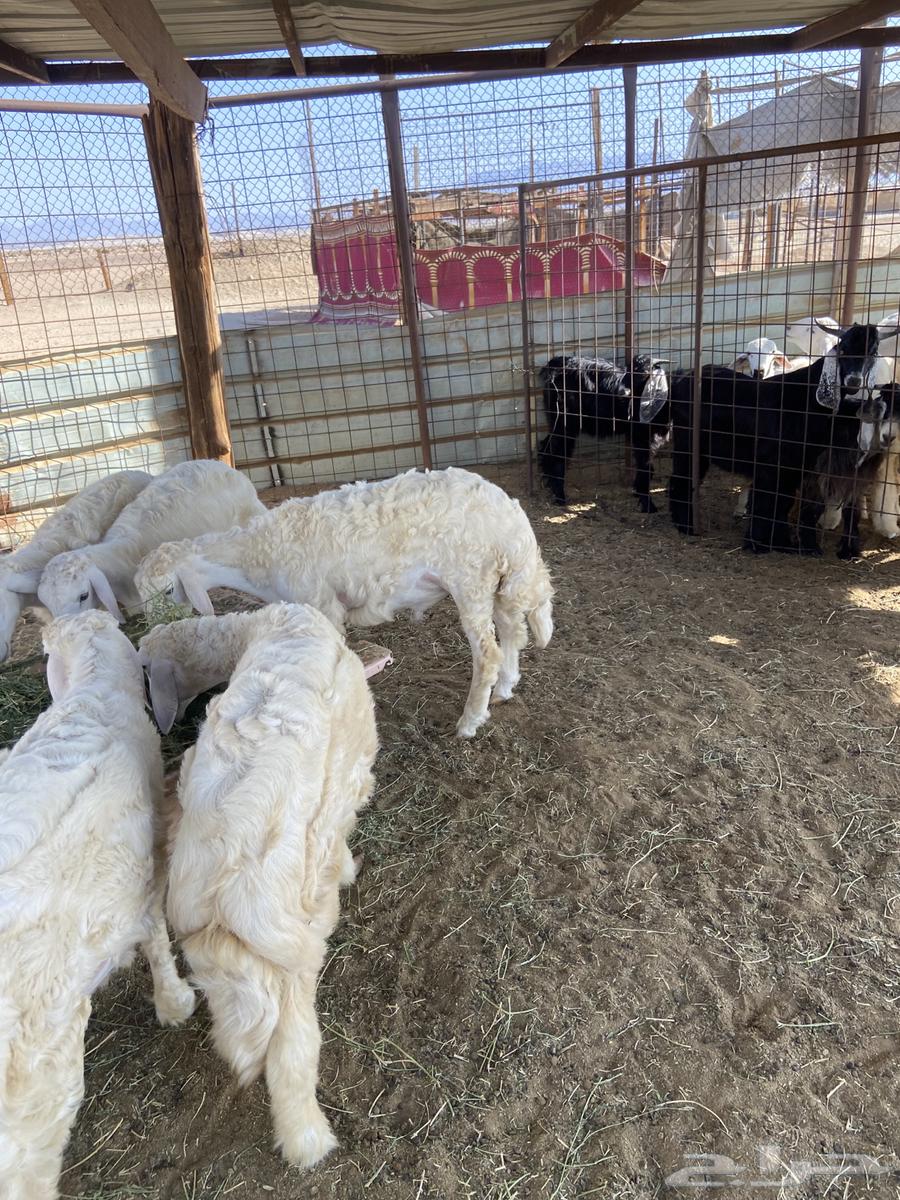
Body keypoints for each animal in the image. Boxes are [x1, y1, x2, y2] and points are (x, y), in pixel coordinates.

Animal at [134, 467, 554, 738]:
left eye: (168, 591)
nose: (149, 626)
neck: (258, 554)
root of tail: (510, 515)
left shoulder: (320, 604)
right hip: (499, 581)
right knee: (513, 630)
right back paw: (504, 689)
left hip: (470, 578)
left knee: (488, 653)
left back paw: (469, 722)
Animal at [537, 354, 671, 511]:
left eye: (646, 375)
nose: (622, 393)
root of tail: (555, 366)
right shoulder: (643, 437)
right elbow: (645, 466)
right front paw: (647, 504)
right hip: (565, 423)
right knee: (557, 453)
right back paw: (559, 496)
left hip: (558, 423)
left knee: (547, 446)